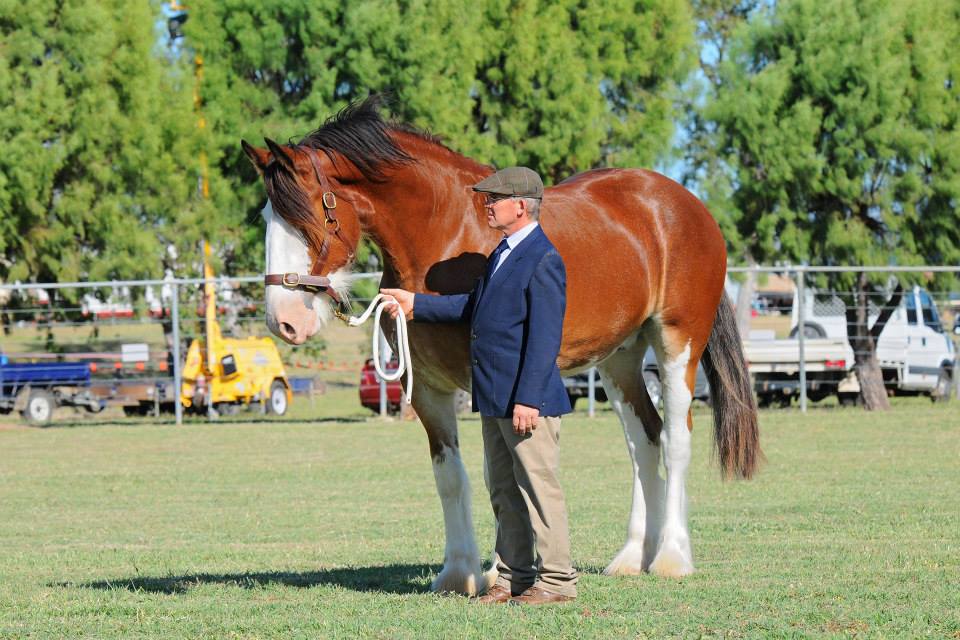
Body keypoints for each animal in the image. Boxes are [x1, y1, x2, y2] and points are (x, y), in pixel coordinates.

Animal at [244, 99, 760, 596]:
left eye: (308, 215)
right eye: (268, 217)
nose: (284, 322)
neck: (445, 231)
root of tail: (685, 204)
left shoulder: (486, 383)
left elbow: (501, 476)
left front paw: (498, 573)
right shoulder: (426, 388)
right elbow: (451, 477)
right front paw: (459, 573)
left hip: (676, 343)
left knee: (675, 439)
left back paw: (672, 557)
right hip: (621, 359)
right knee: (644, 441)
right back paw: (634, 557)